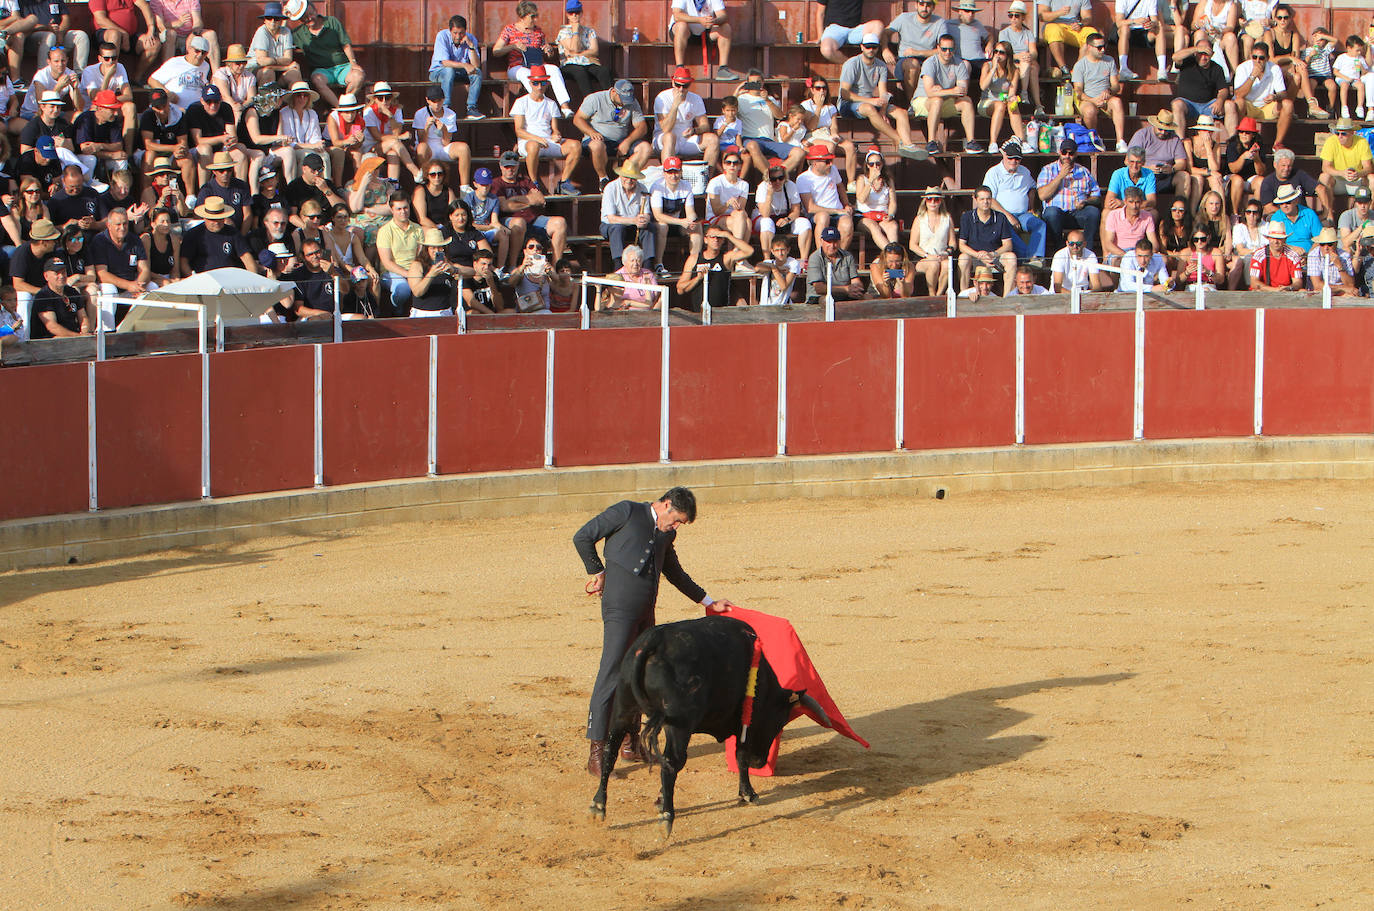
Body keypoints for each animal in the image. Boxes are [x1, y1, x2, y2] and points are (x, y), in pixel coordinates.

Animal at [588, 615, 824, 835]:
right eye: (779, 722)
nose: (760, 762)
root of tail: (654, 640)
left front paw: (659, 799)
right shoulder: (745, 724)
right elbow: (740, 755)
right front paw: (748, 793)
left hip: (623, 709)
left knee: (611, 750)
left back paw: (599, 805)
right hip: (679, 725)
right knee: (671, 762)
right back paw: (667, 817)